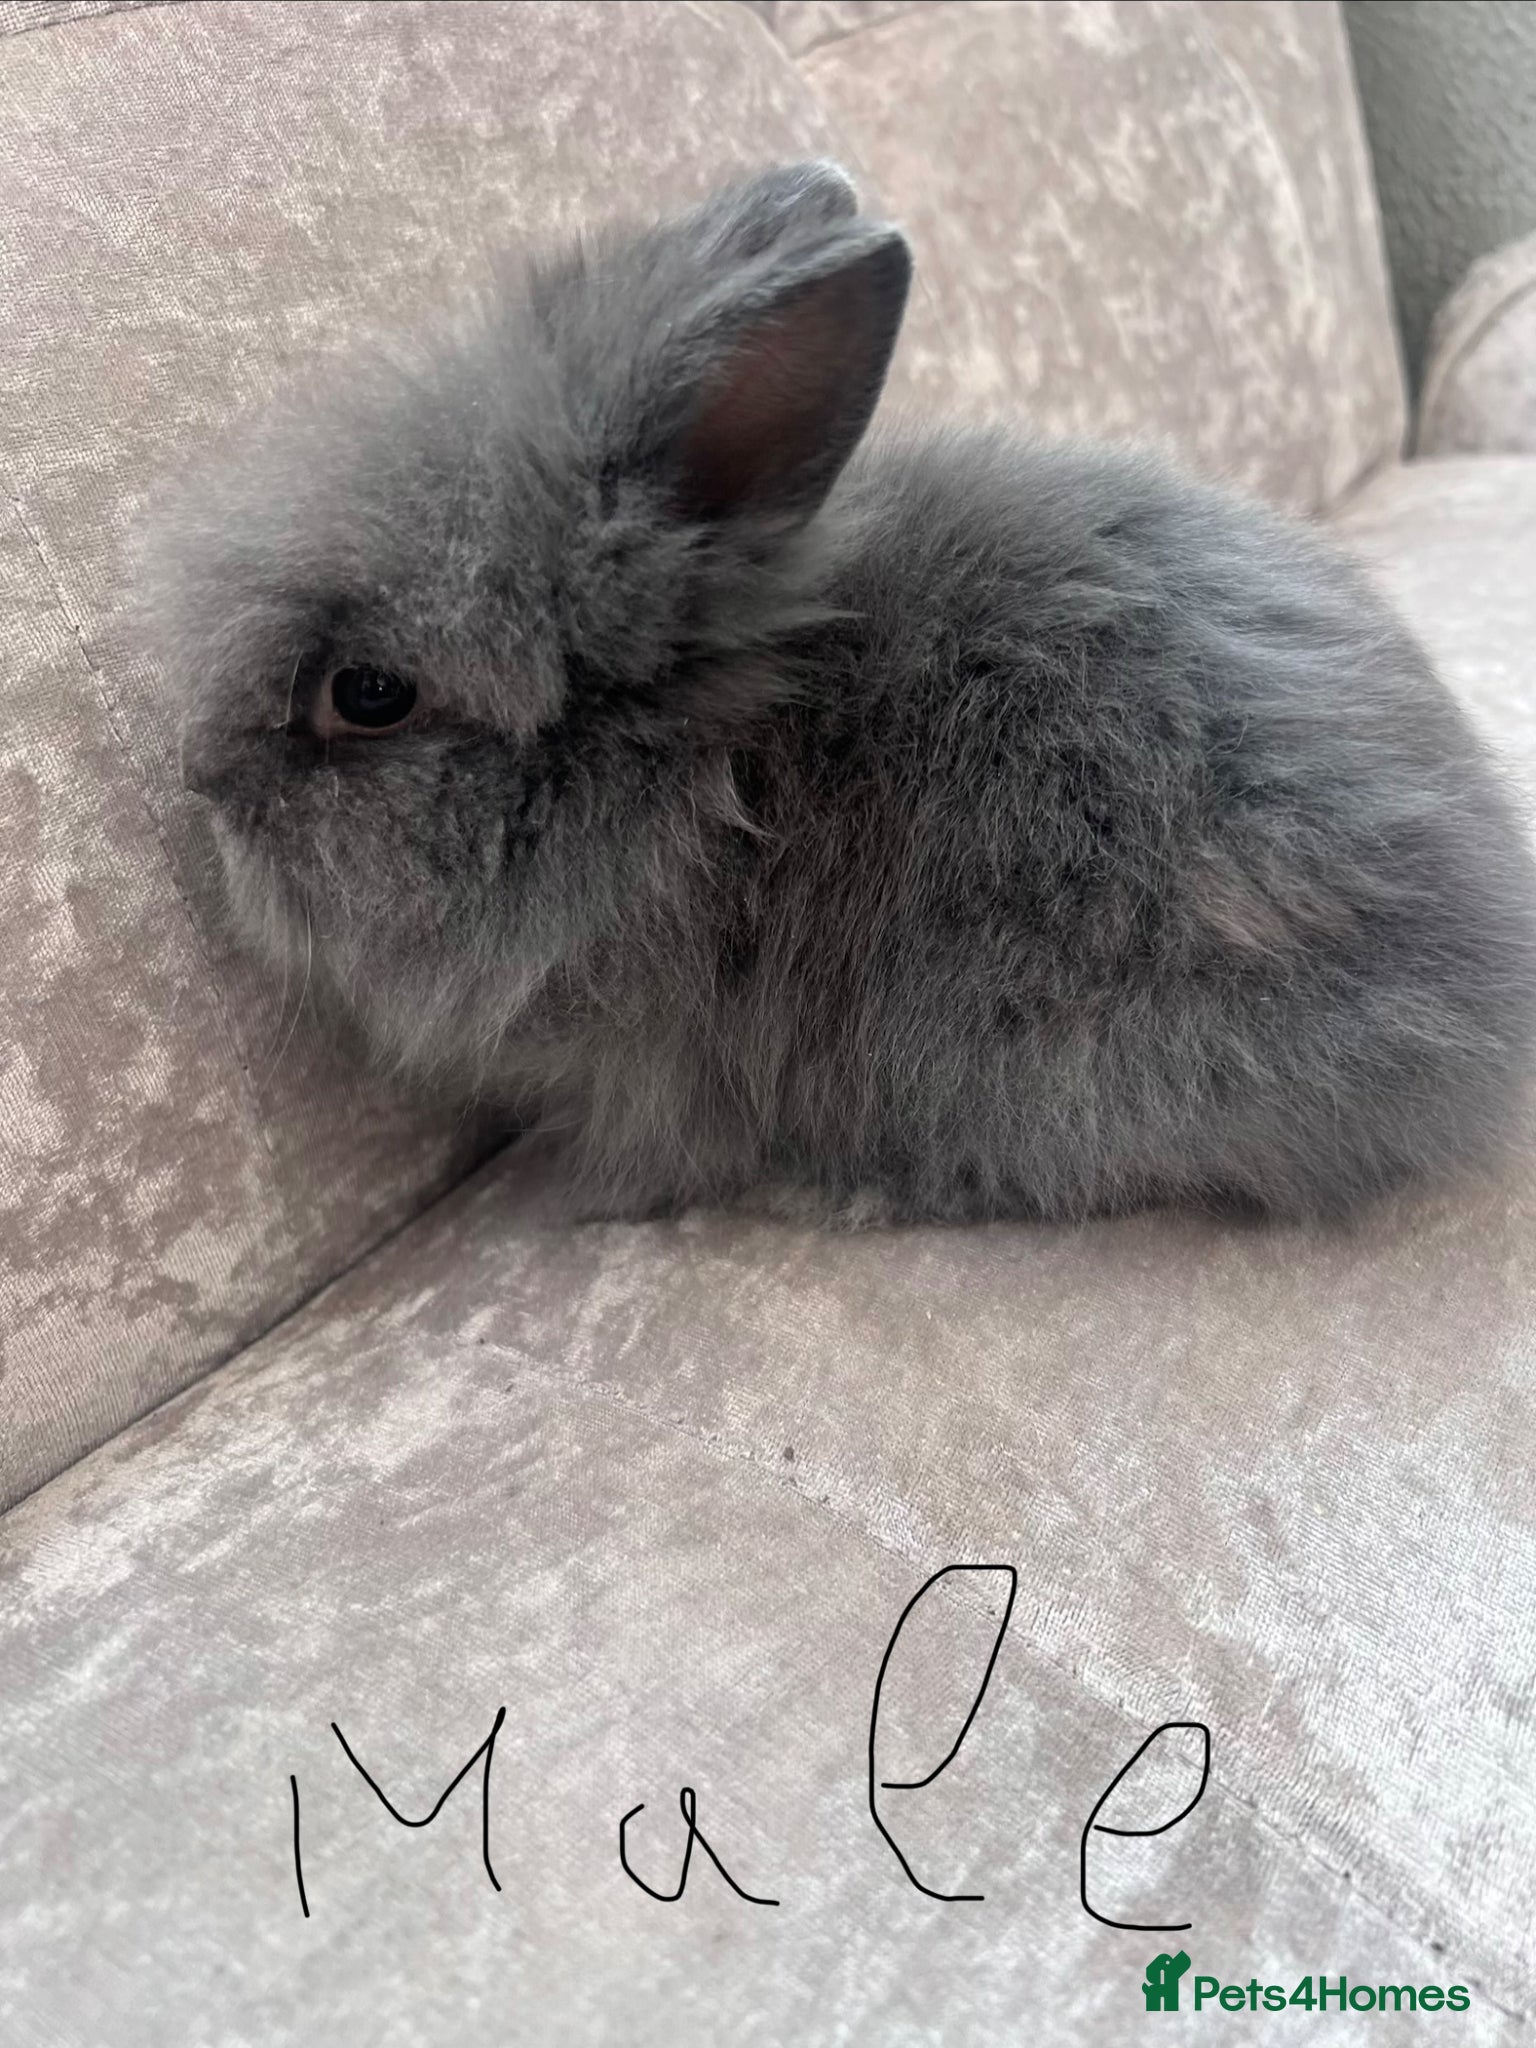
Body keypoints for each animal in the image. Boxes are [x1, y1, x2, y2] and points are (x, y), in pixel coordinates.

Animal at [142, 160, 1536, 1228]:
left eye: (367, 693)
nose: (204, 787)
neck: (697, 779)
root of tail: (1478, 985)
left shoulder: (660, 1065)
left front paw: (580, 1203)